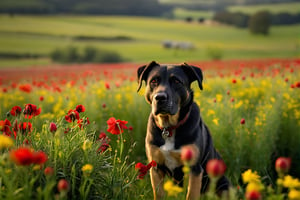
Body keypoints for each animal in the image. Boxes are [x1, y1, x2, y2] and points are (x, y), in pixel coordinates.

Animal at [137, 61, 229, 200]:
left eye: (176, 81)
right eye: (153, 81)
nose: (160, 97)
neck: (169, 127)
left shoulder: (194, 169)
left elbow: (191, 194)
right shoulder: (156, 167)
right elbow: (158, 193)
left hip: (222, 185)